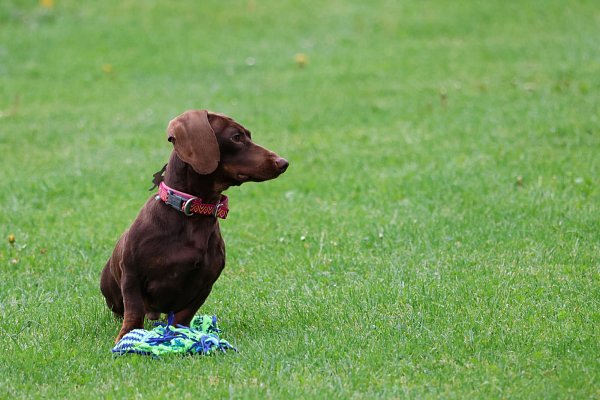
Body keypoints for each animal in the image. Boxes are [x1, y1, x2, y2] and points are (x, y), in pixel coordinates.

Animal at [101, 109, 288, 340]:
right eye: (236, 137)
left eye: (248, 135)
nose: (283, 163)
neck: (192, 213)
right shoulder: (131, 275)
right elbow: (134, 310)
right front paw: (127, 336)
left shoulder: (204, 285)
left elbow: (183, 316)